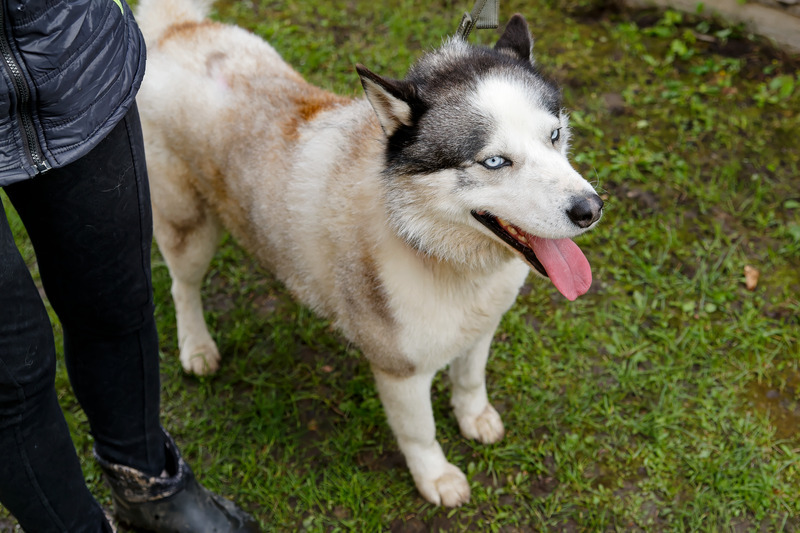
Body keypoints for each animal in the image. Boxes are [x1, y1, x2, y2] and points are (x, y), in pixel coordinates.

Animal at [136, 0, 600, 504]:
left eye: (554, 135)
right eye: (495, 161)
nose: (591, 209)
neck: (428, 243)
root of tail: (175, 28)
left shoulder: (482, 326)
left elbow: (470, 379)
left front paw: (475, 418)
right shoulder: (400, 370)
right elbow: (420, 432)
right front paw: (436, 477)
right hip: (188, 227)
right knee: (183, 286)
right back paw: (197, 347)